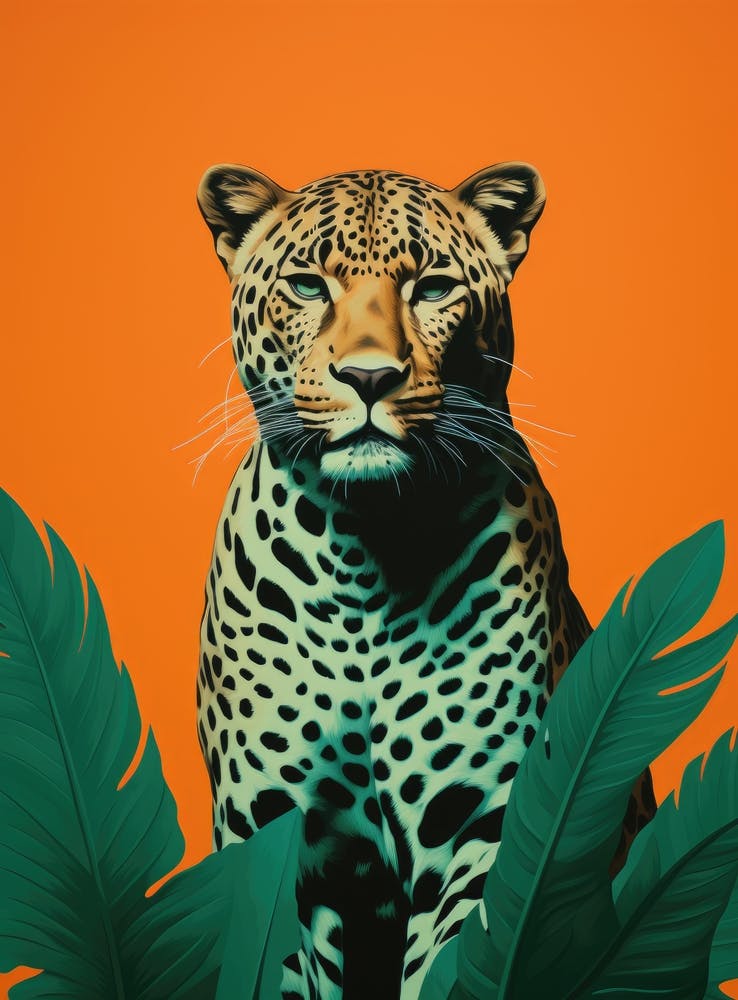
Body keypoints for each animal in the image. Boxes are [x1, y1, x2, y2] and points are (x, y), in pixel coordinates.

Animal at [195, 162, 656, 1000]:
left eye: (435, 288)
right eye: (307, 286)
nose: (369, 376)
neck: (365, 561)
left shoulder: (483, 824)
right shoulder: (271, 834)